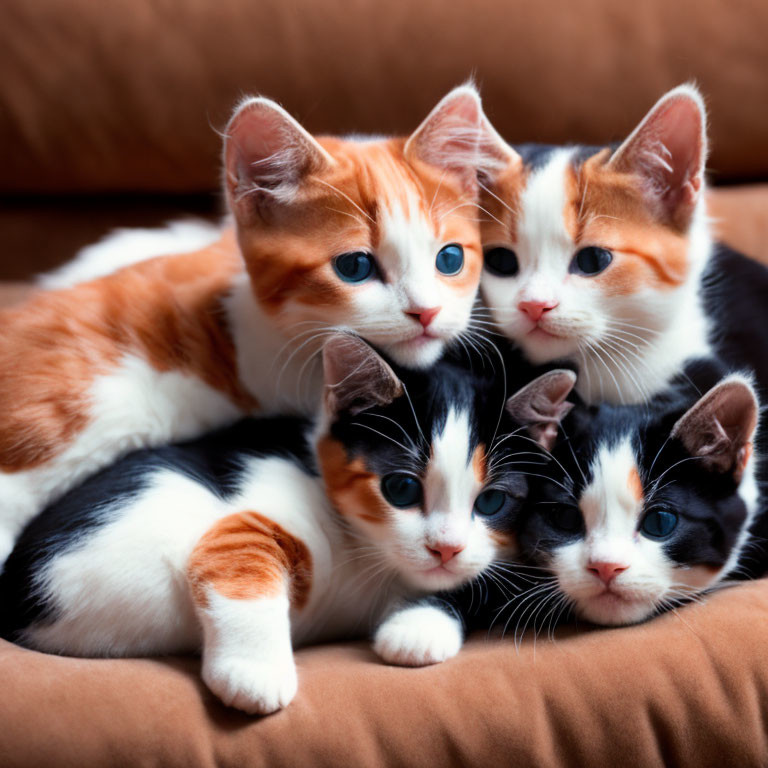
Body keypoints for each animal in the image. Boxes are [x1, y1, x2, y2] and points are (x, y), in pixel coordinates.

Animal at [0, 336, 576, 712]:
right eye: (401, 489)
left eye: (493, 502)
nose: (446, 548)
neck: (370, 561)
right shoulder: (249, 508)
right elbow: (237, 556)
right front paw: (253, 674)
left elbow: (477, 587)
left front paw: (417, 627)